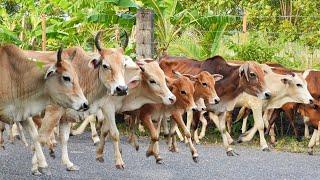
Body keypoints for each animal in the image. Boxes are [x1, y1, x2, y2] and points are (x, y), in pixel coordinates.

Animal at [0, 44, 87, 175]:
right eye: (66, 78)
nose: (85, 104)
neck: (15, 78)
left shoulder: (22, 112)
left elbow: (35, 135)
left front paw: (41, 164)